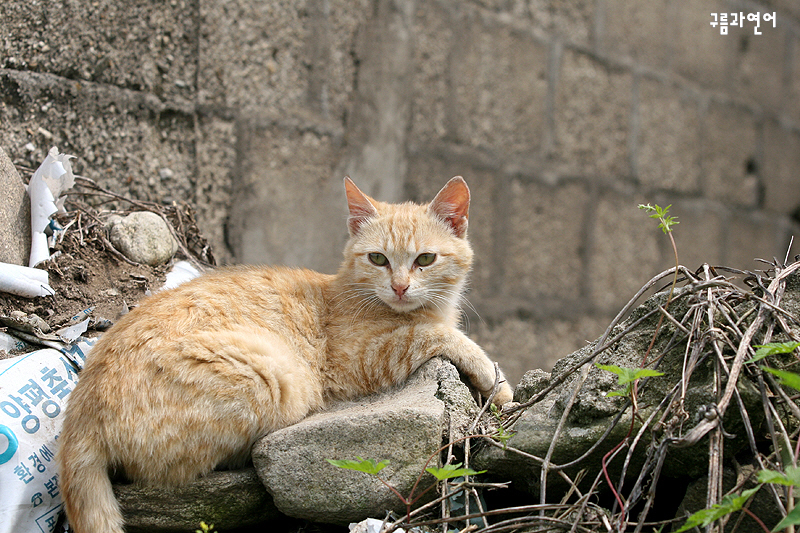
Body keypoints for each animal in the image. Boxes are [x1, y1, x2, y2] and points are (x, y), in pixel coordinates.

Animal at [56, 176, 512, 532]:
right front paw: (498, 382)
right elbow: (438, 336)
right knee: (163, 475)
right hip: (269, 377)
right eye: (378, 258)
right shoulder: (363, 357)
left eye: (426, 259)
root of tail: (79, 410)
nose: (399, 287)